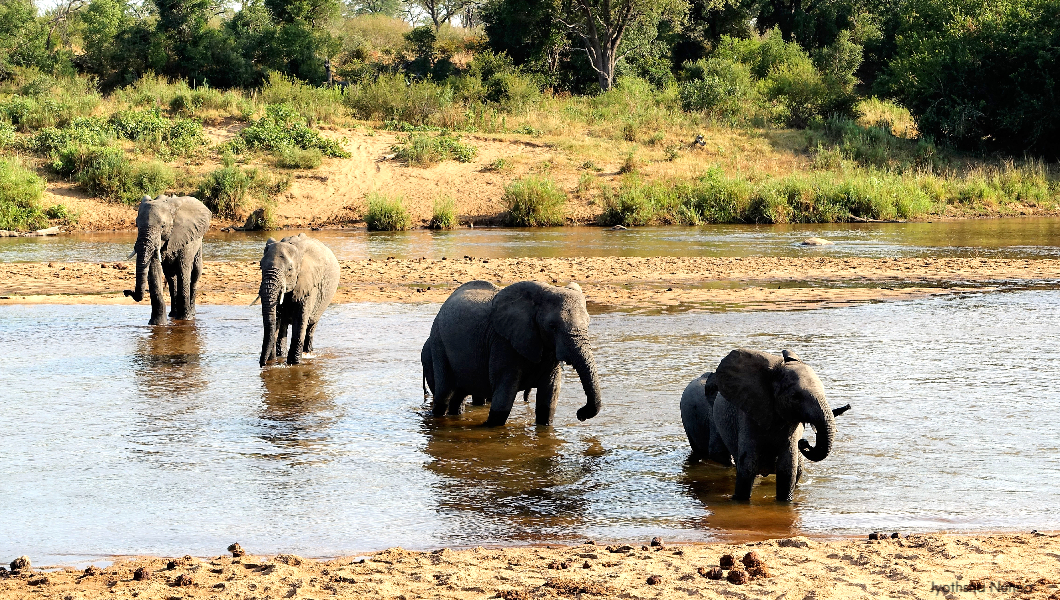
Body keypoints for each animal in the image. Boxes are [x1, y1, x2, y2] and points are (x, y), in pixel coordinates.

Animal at [122, 193, 211, 324]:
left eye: (163, 226)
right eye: (137, 225)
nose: (126, 292)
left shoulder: (185, 237)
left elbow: (183, 269)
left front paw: (185, 320)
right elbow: (154, 270)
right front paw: (157, 324)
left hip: (198, 242)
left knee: (195, 273)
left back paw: (191, 314)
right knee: (170, 277)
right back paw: (173, 314)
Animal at [256, 234, 339, 366]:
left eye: (290, 269)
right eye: (260, 266)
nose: (262, 365)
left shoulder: (309, 284)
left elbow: (300, 319)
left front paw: (294, 364)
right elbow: (276, 318)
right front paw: (273, 362)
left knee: (311, 326)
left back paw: (307, 353)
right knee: (283, 326)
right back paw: (281, 355)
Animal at [421, 281, 606, 428]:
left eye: (588, 324)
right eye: (552, 326)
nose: (580, 414)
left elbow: (549, 398)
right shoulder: (502, 342)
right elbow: (503, 399)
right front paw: (490, 428)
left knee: (458, 396)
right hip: (438, 342)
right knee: (444, 394)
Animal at [682, 347, 847, 502]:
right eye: (795, 397)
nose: (804, 442)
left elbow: (788, 467)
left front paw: (786, 503)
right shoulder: (747, 414)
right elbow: (747, 464)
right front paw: (740, 501)